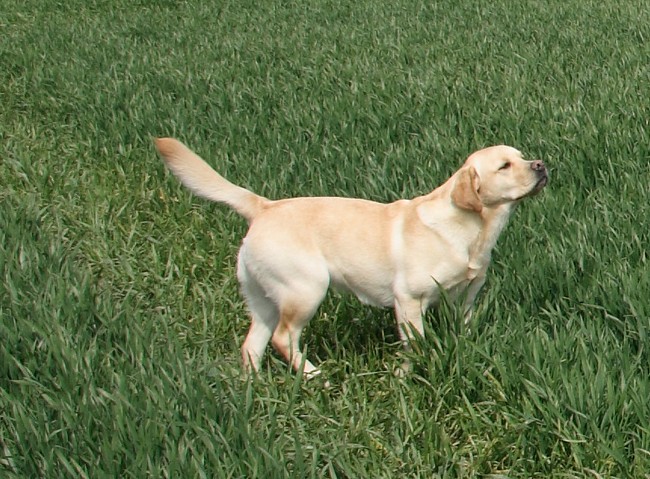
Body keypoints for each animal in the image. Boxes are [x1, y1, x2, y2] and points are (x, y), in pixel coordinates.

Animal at [154, 138, 544, 378]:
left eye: (522, 156)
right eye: (505, 166)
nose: (540, 164)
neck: (472, 229)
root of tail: (264, 207)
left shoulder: (465, 297)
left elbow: (464, 326)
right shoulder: (409, 300)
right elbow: (415, 343)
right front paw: (407, 374)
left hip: (263, 300)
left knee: (251, 347)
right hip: (306, 289)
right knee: (284, 338)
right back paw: (314, 376)